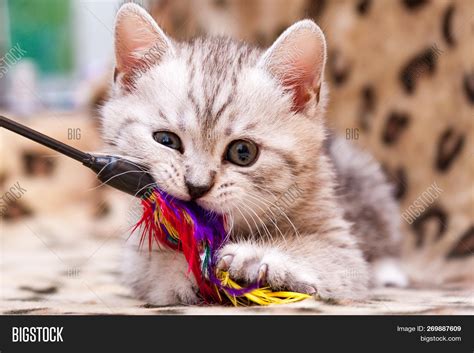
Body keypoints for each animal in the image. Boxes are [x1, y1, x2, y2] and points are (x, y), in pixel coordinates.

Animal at [102, 3, 406, 306]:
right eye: (166, 140)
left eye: (243, 152)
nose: (197, 186)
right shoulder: (134, 255)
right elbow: (149, 266)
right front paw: (183, 268)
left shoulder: (342, 246)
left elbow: (328, 255)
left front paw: (255, 257)